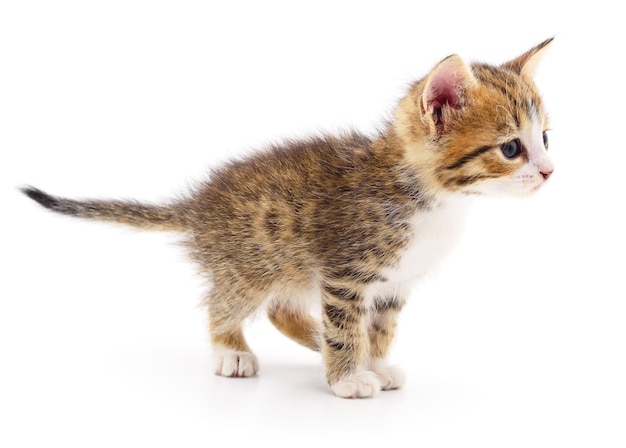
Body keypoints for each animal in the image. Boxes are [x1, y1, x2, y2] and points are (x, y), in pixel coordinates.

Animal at [22, 37, 552, 396]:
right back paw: (233, 350)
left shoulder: (394, 283)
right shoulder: (344, 272)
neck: (430, 198)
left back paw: (316, 339)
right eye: (511, 148)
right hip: (252, 261)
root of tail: (198, 204)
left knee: (281, 309)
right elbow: (346, 324)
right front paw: (348, 379)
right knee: (224, 302)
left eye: (546, 137)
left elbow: (379, 328)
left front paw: (374, 363)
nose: (549, 171)